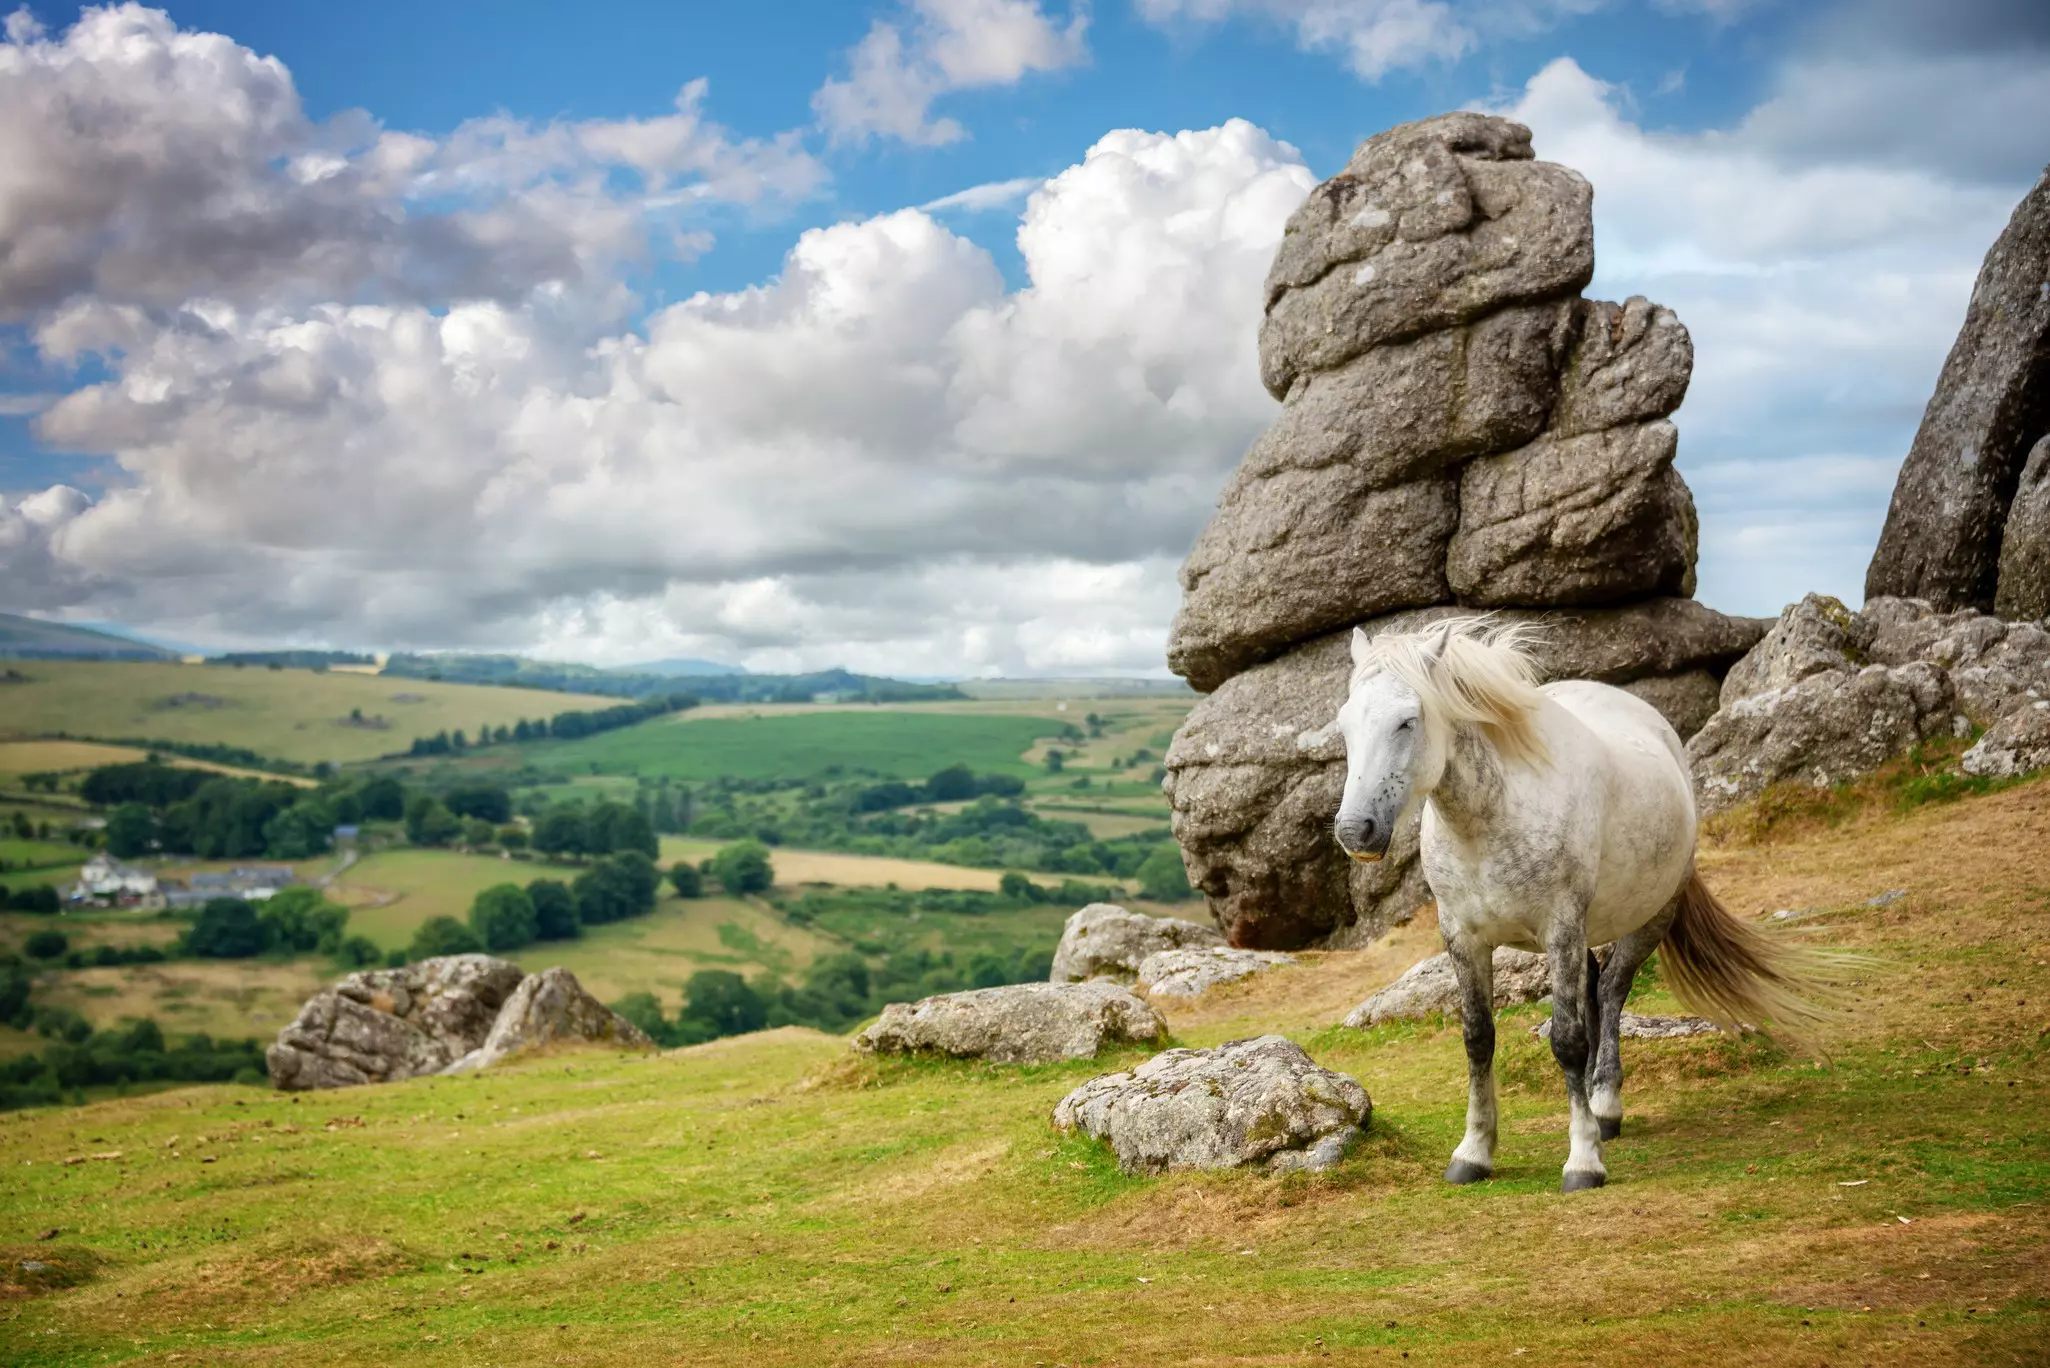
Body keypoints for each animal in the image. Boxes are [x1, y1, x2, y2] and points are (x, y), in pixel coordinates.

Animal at [1331, 617, 1825, 1192]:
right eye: (1345, 725)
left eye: (1407, 721)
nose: (1354, 830)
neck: (1492, 816)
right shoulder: (1463, 937)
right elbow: (1478, 1038)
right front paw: (1474, 1152)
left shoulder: (1560, 929)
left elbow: (1567, 1040)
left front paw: (1583, 1160)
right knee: (1594, 991)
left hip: (1649, 916)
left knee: (1610, 993)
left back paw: (1604, 1105)